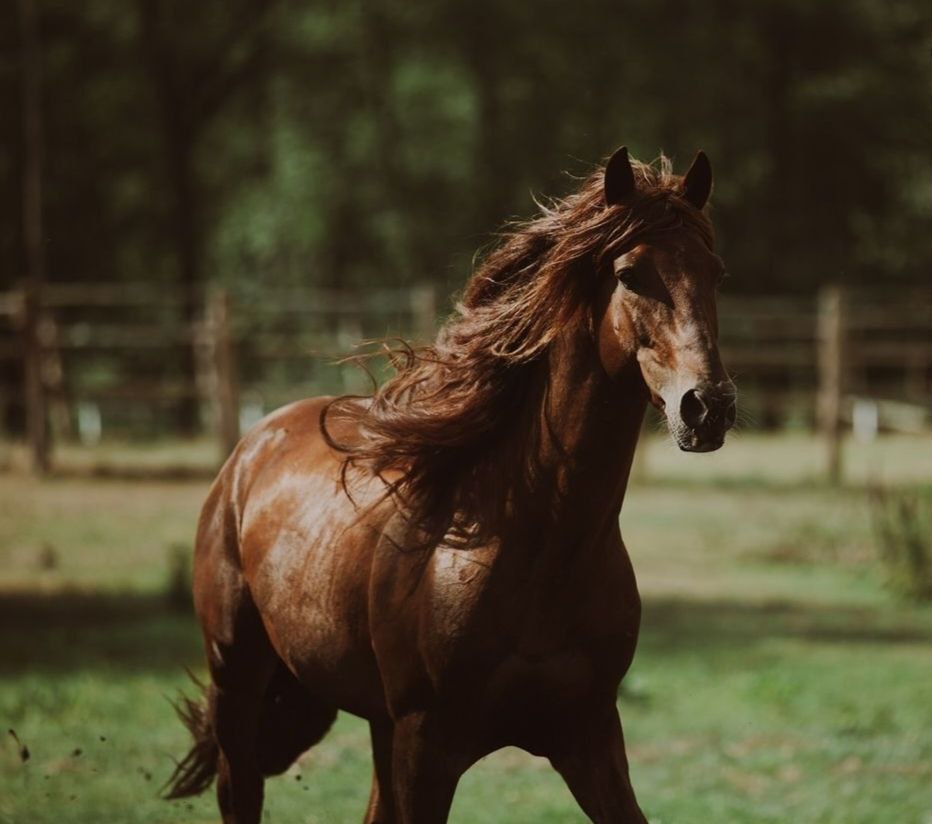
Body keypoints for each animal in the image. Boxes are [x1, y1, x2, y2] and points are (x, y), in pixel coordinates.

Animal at [166, 148, 736, 824]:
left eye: (716, 274)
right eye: (630, 275)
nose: (708, 407)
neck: (534, 548)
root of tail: (251, 447)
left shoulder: (589, 734)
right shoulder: (428, 745)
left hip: (377, 723)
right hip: (239, 678)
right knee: (240, 789)